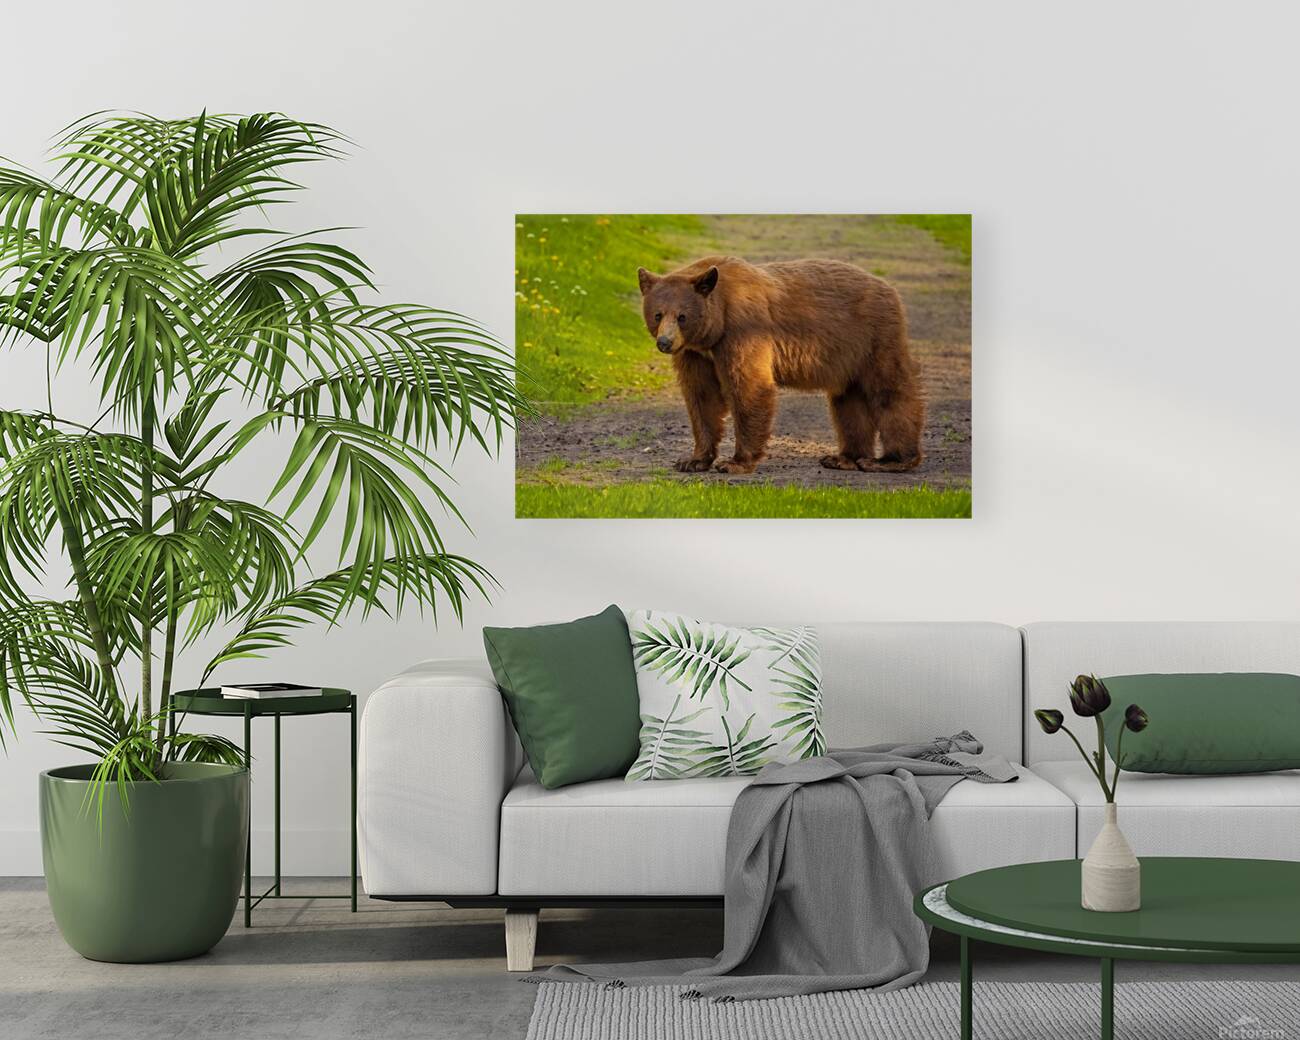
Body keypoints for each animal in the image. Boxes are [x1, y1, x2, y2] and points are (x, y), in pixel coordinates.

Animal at [636, 255, 925, 475]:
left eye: (682, 316)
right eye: (658, 314)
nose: (665, 342)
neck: (715, 326)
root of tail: (888, 287)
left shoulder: (743, 331)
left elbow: (749, 388)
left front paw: (735, 462)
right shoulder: (695, 354)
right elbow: (702, 397)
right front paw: (693, 460)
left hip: (874, 336)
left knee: (890, 391)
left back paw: (891, 460)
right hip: (848, 357)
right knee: (849, 401)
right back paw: (843, 458)